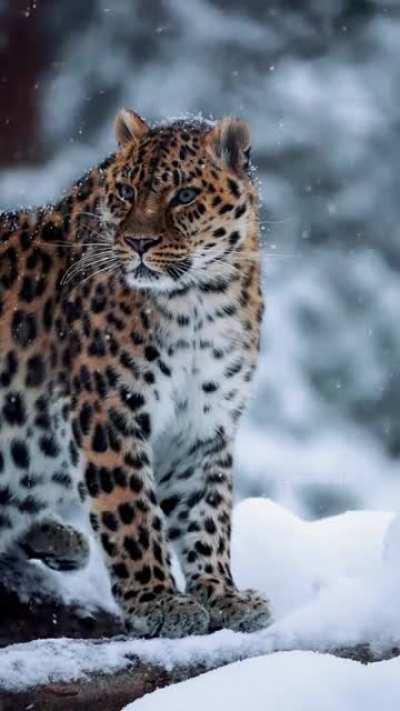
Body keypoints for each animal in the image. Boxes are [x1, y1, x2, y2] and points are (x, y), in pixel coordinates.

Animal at [0, 108, 270, 637]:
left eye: (184, 195)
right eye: (126, 191)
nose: (138, 242)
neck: (200, 300)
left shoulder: (203, 423)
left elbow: (207, 513)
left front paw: (222, 593)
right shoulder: (108, 409)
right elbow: (131, 513)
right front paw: (159, 601)